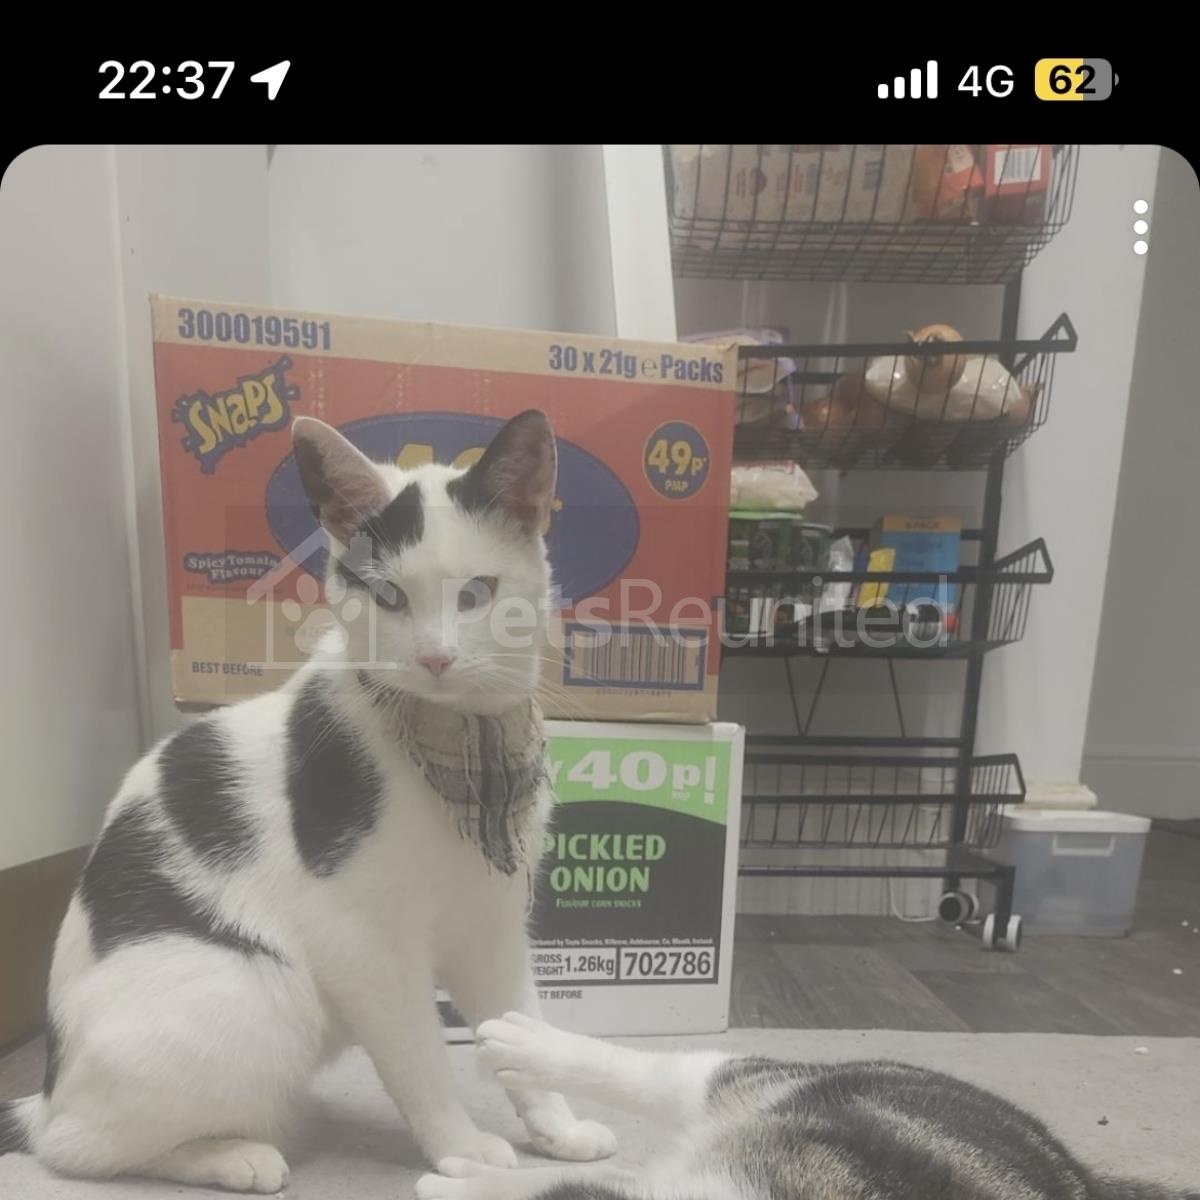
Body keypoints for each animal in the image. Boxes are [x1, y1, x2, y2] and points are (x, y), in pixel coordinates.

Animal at [0, 410, 615, 1193]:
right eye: (389, 597)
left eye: (477, 592)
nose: (436, 658)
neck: (465, 744)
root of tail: (47, 1088)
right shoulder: (360, 940)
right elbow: (420, 1054)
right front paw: (460, 1147)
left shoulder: (494, 924)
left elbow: (518, 1026)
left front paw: (557, 1127)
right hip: (255, 993)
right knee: (77, 1147)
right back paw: (234, 1155)